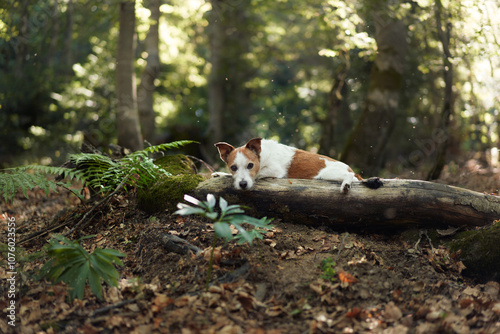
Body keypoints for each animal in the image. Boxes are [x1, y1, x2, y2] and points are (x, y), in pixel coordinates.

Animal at [213, 136, 380, 192]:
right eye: (233, 167)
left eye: (250, 165)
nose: (242, 185)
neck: (262, 156)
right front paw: (219, 173)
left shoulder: (274, 170)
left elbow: (259, 174)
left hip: (328, 173)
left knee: (348, 175)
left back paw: (346, 184)